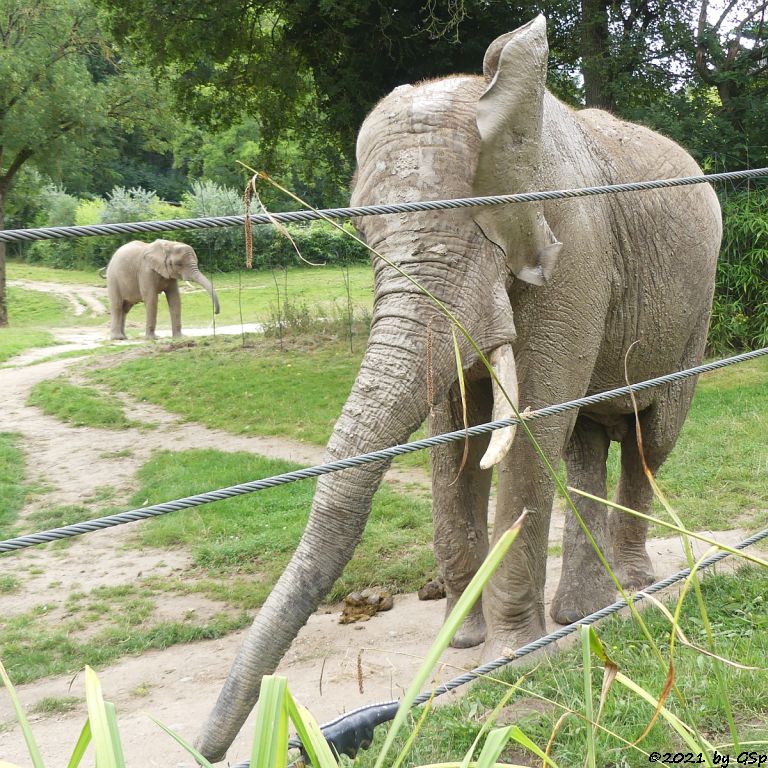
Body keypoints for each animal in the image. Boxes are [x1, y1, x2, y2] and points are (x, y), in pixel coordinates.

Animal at [195, 18, 724, 760]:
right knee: (588, 439)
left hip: (696, 308)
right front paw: (464, 643)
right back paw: (581, 613)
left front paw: (512, 655)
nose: (204, 749)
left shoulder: (576, 250)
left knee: (651, 435)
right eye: (364, 234)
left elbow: (530, 425)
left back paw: (630, 592)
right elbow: (455, 434)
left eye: (474, 230)